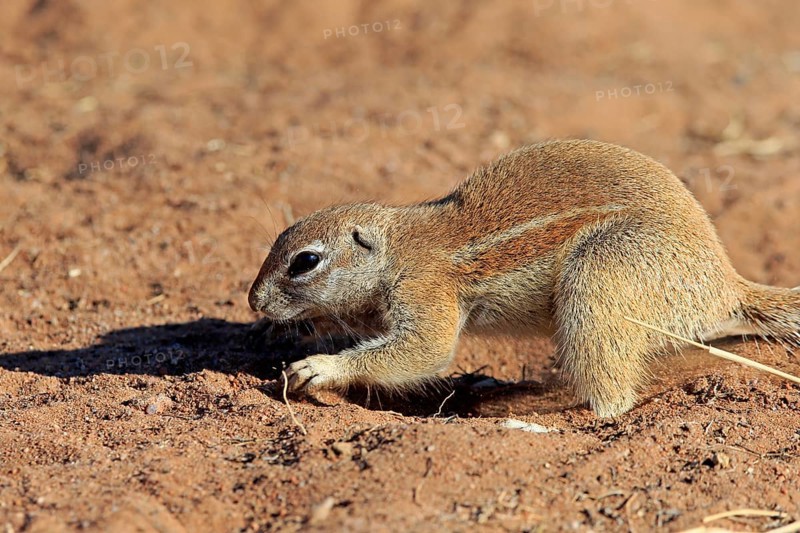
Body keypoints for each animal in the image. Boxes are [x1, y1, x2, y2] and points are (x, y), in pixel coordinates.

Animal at [248, 139, 800, 418]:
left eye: (304, 261)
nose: (253, 301)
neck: (396, 249)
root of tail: (725, 284)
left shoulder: (427, 289)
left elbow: (425, 348)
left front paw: (319, 368)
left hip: (600, 272)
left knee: (614, 396)